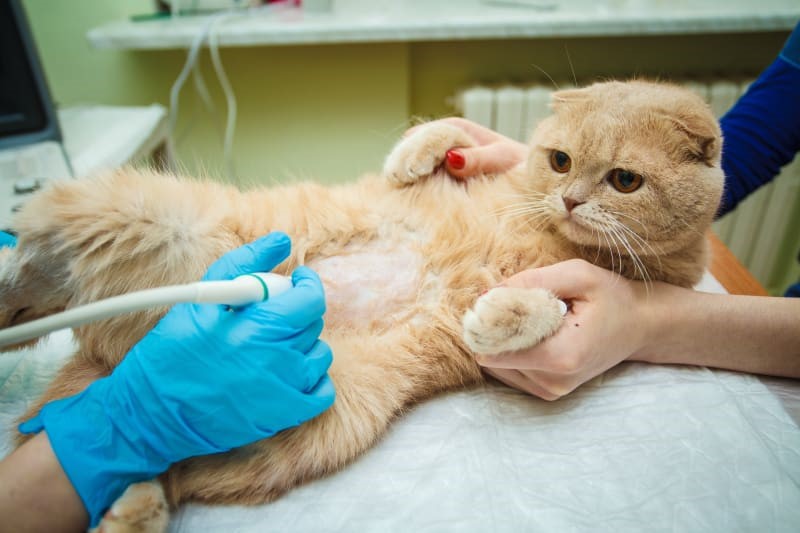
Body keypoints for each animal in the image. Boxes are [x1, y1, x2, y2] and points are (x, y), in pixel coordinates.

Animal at [0, 78, 724, 528]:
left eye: (624, 180)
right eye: (559, 159)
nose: (571, 200)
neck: (553, 229)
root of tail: (116, 354)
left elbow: (541, 306)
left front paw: (497, 317)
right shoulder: (490, 166)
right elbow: (447, 136)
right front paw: (412, 154)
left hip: (289, 428)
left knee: (136, 450)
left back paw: (131, 504)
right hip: (145, 218)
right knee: (34, 264)